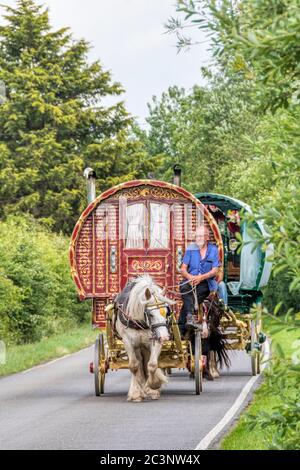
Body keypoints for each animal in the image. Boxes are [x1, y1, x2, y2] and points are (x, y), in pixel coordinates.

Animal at [112, 274, 175, 402]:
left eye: (167, 312)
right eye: (151, 314)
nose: (165, 336)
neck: (139, 321)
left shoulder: (155, 340)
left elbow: (152, 364)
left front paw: (153, 387)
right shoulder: (128, 342)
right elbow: (134, 366)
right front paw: (136, 394)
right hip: (137, 346)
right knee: (138, 363)